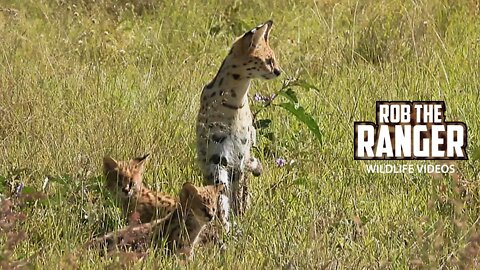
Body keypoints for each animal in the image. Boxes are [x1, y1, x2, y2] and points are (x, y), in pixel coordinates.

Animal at [197, 20, 282, 232]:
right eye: (269, 60)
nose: (279, 71)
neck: (236, 101)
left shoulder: (239, 156)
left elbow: (238, 193)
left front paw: (238, 217)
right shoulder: (217, 156)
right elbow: (221, 194)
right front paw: (225, 226)